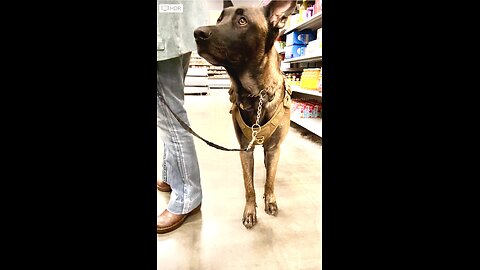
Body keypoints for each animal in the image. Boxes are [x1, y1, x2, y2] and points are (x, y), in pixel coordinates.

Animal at [194, 0, 296, 229]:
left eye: (242, 21)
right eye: (219, 19)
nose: (197, 33)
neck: (256, 95)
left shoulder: (274, 148)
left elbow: (270, 180)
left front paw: (270, 200)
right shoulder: (244, 150)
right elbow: (249, 186)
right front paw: (250, 211)